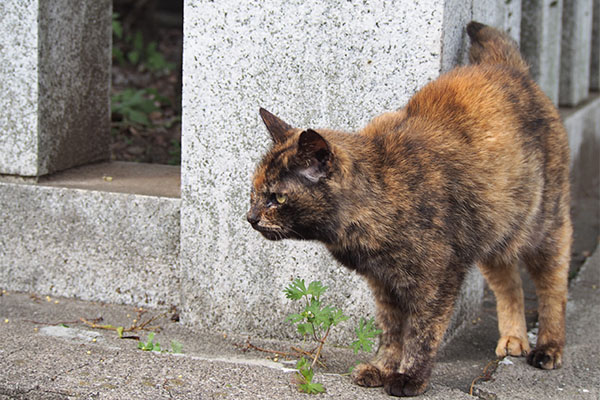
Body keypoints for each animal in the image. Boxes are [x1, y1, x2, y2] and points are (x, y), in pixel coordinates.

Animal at [248, 21, 572, 396]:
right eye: (253, 192)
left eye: (277, 198)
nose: (250, 217)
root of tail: (507, 67)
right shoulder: (383, 284)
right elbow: (391, 331)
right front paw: (382, 368)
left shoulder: (436, 280)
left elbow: (420, 332)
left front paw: (409, 377)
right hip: (494, 232)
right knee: (508, 282)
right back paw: (513, 339)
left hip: (545, 226)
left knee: (552, 285)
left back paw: (548, 347)